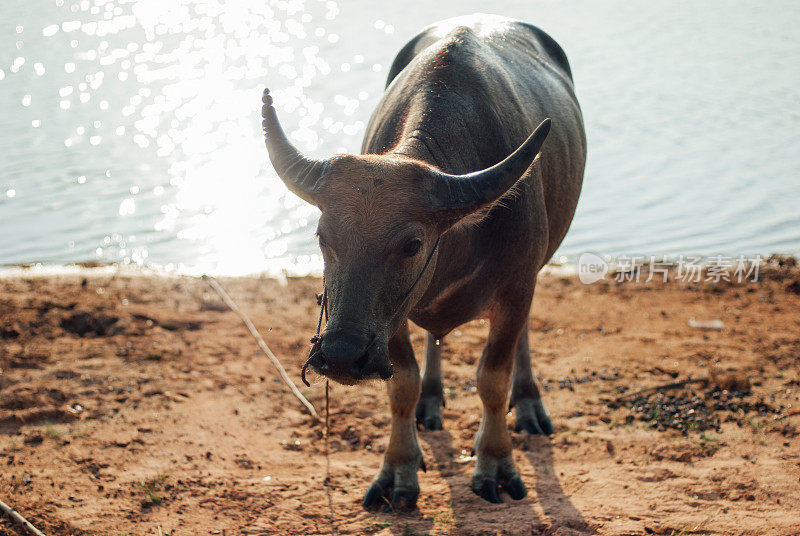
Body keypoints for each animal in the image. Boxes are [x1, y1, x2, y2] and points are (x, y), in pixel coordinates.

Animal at [264, 11, 588, 506]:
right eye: (322, 236)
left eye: (413, 245)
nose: (340, 356)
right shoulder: (387, 321)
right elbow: (402, 383)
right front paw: (398, 471)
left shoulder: (516, 286)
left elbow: (492, 379)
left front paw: (495, 463)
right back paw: (432, 402)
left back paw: (530, 403)